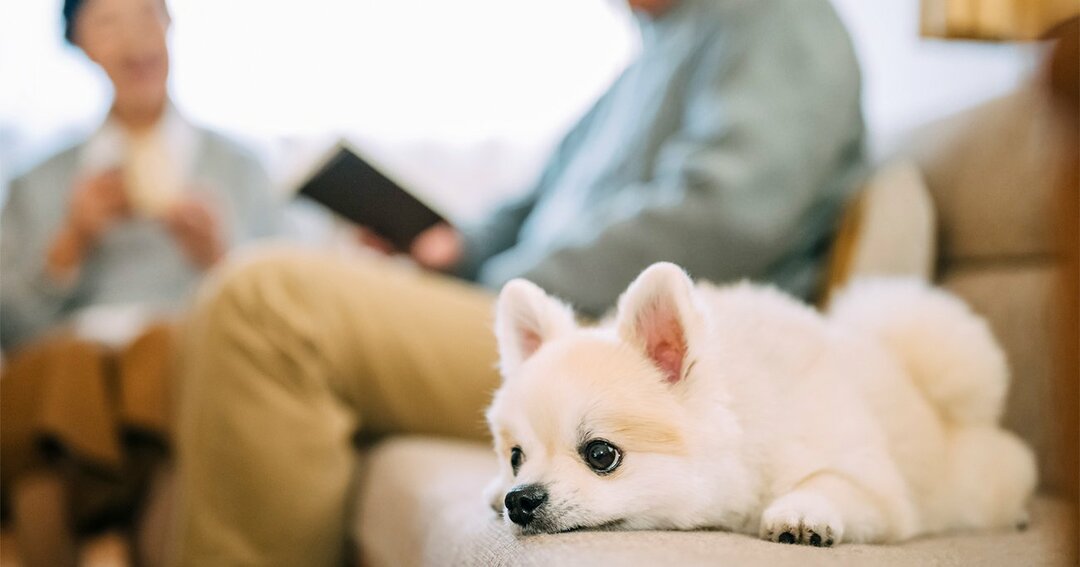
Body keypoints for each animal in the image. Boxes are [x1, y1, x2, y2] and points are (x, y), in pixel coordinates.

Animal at [483, 263, 1036, 546]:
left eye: (601, 455)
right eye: (516, 457)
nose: (520, 499)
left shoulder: (874, 486)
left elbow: (833, 481)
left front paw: (801, 512)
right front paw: (494, 490)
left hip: (978, 484)